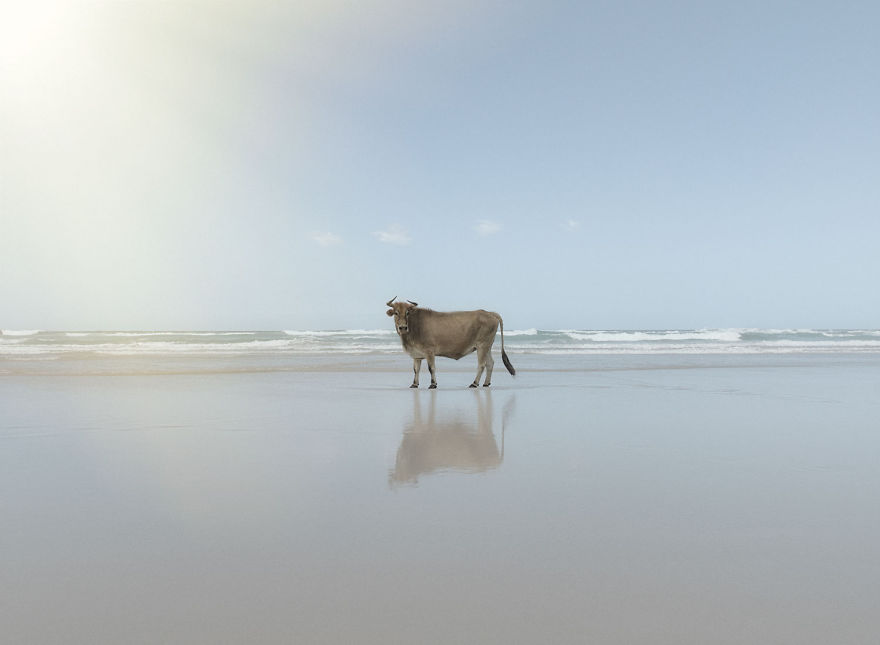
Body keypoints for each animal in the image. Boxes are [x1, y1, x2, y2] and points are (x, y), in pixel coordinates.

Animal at [385, 297, 516, 389]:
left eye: (407, 312)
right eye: (396, 312)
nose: (403, 327)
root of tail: (489, 312)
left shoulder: (429, 351)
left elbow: (431, 368)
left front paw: (433, 384)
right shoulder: (416, 355)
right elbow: (416, 369)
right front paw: (414, 384)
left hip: (482, 346)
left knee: (482, 364)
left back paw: (474, 383)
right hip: (487, 346)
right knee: (490, 363)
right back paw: (486, 383)